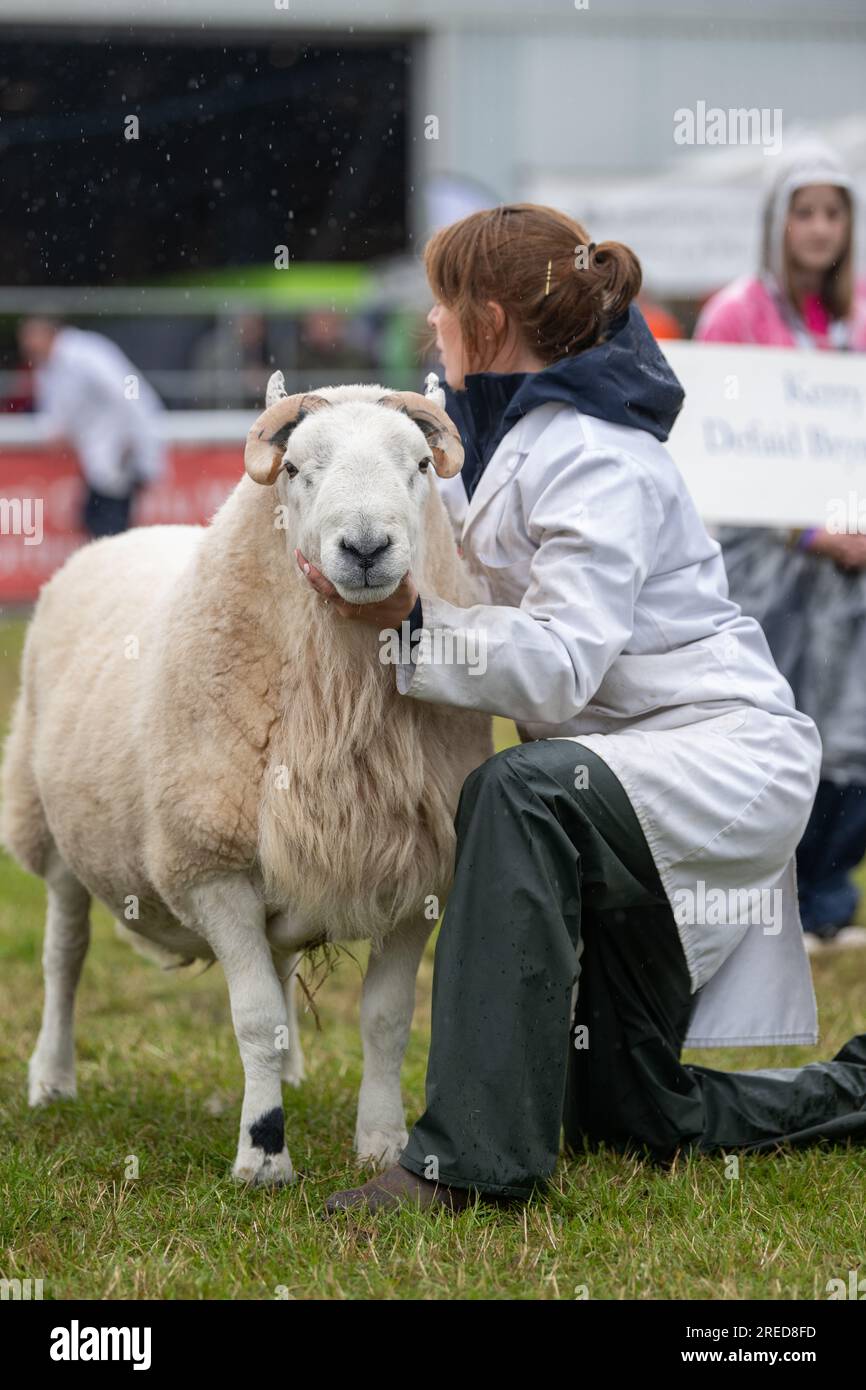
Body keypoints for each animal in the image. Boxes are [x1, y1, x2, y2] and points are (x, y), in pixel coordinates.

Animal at [0, 378, 494, 1184]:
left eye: (421, 465)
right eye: (295, 469)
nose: (365, 549)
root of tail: (127, 536)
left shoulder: (418, 876)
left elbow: (387, 1020)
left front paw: (382, 1143)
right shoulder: (209, 868)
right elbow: (255, 1019)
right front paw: (263, 1155)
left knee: (281, 961)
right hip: (52, 827)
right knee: (63, 957)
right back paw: (52, 1079)